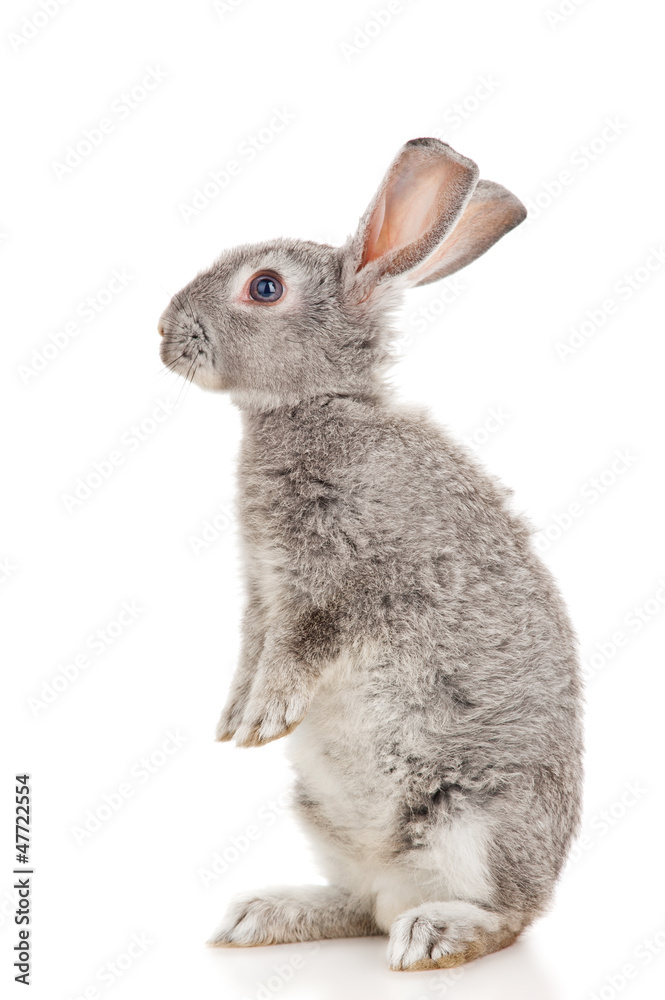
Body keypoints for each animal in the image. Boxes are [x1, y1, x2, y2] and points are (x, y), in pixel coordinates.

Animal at [158, 137, 583, 971]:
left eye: (264, 288)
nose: (162, 331)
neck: (316, 406)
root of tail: (400, 887)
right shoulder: (263, 591)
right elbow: (253, 649)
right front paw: (234, 719)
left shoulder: (347, 584)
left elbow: (303, 648)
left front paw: (264, 720)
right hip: (325, 819)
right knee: (360, 906)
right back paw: (266, 915)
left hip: (474, 820)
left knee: (505, 917)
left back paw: (434, 934)